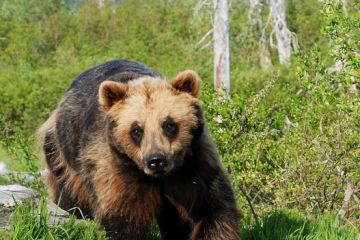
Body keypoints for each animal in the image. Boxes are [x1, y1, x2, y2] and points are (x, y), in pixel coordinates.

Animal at [37, 59, 239, 239]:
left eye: (169, 124)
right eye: (136, 130)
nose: (156, 160)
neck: (158, 178)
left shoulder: (192, 166)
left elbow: (211, 211)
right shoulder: (115, 170)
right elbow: (124, 219)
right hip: (62, 155)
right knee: (71, 198)